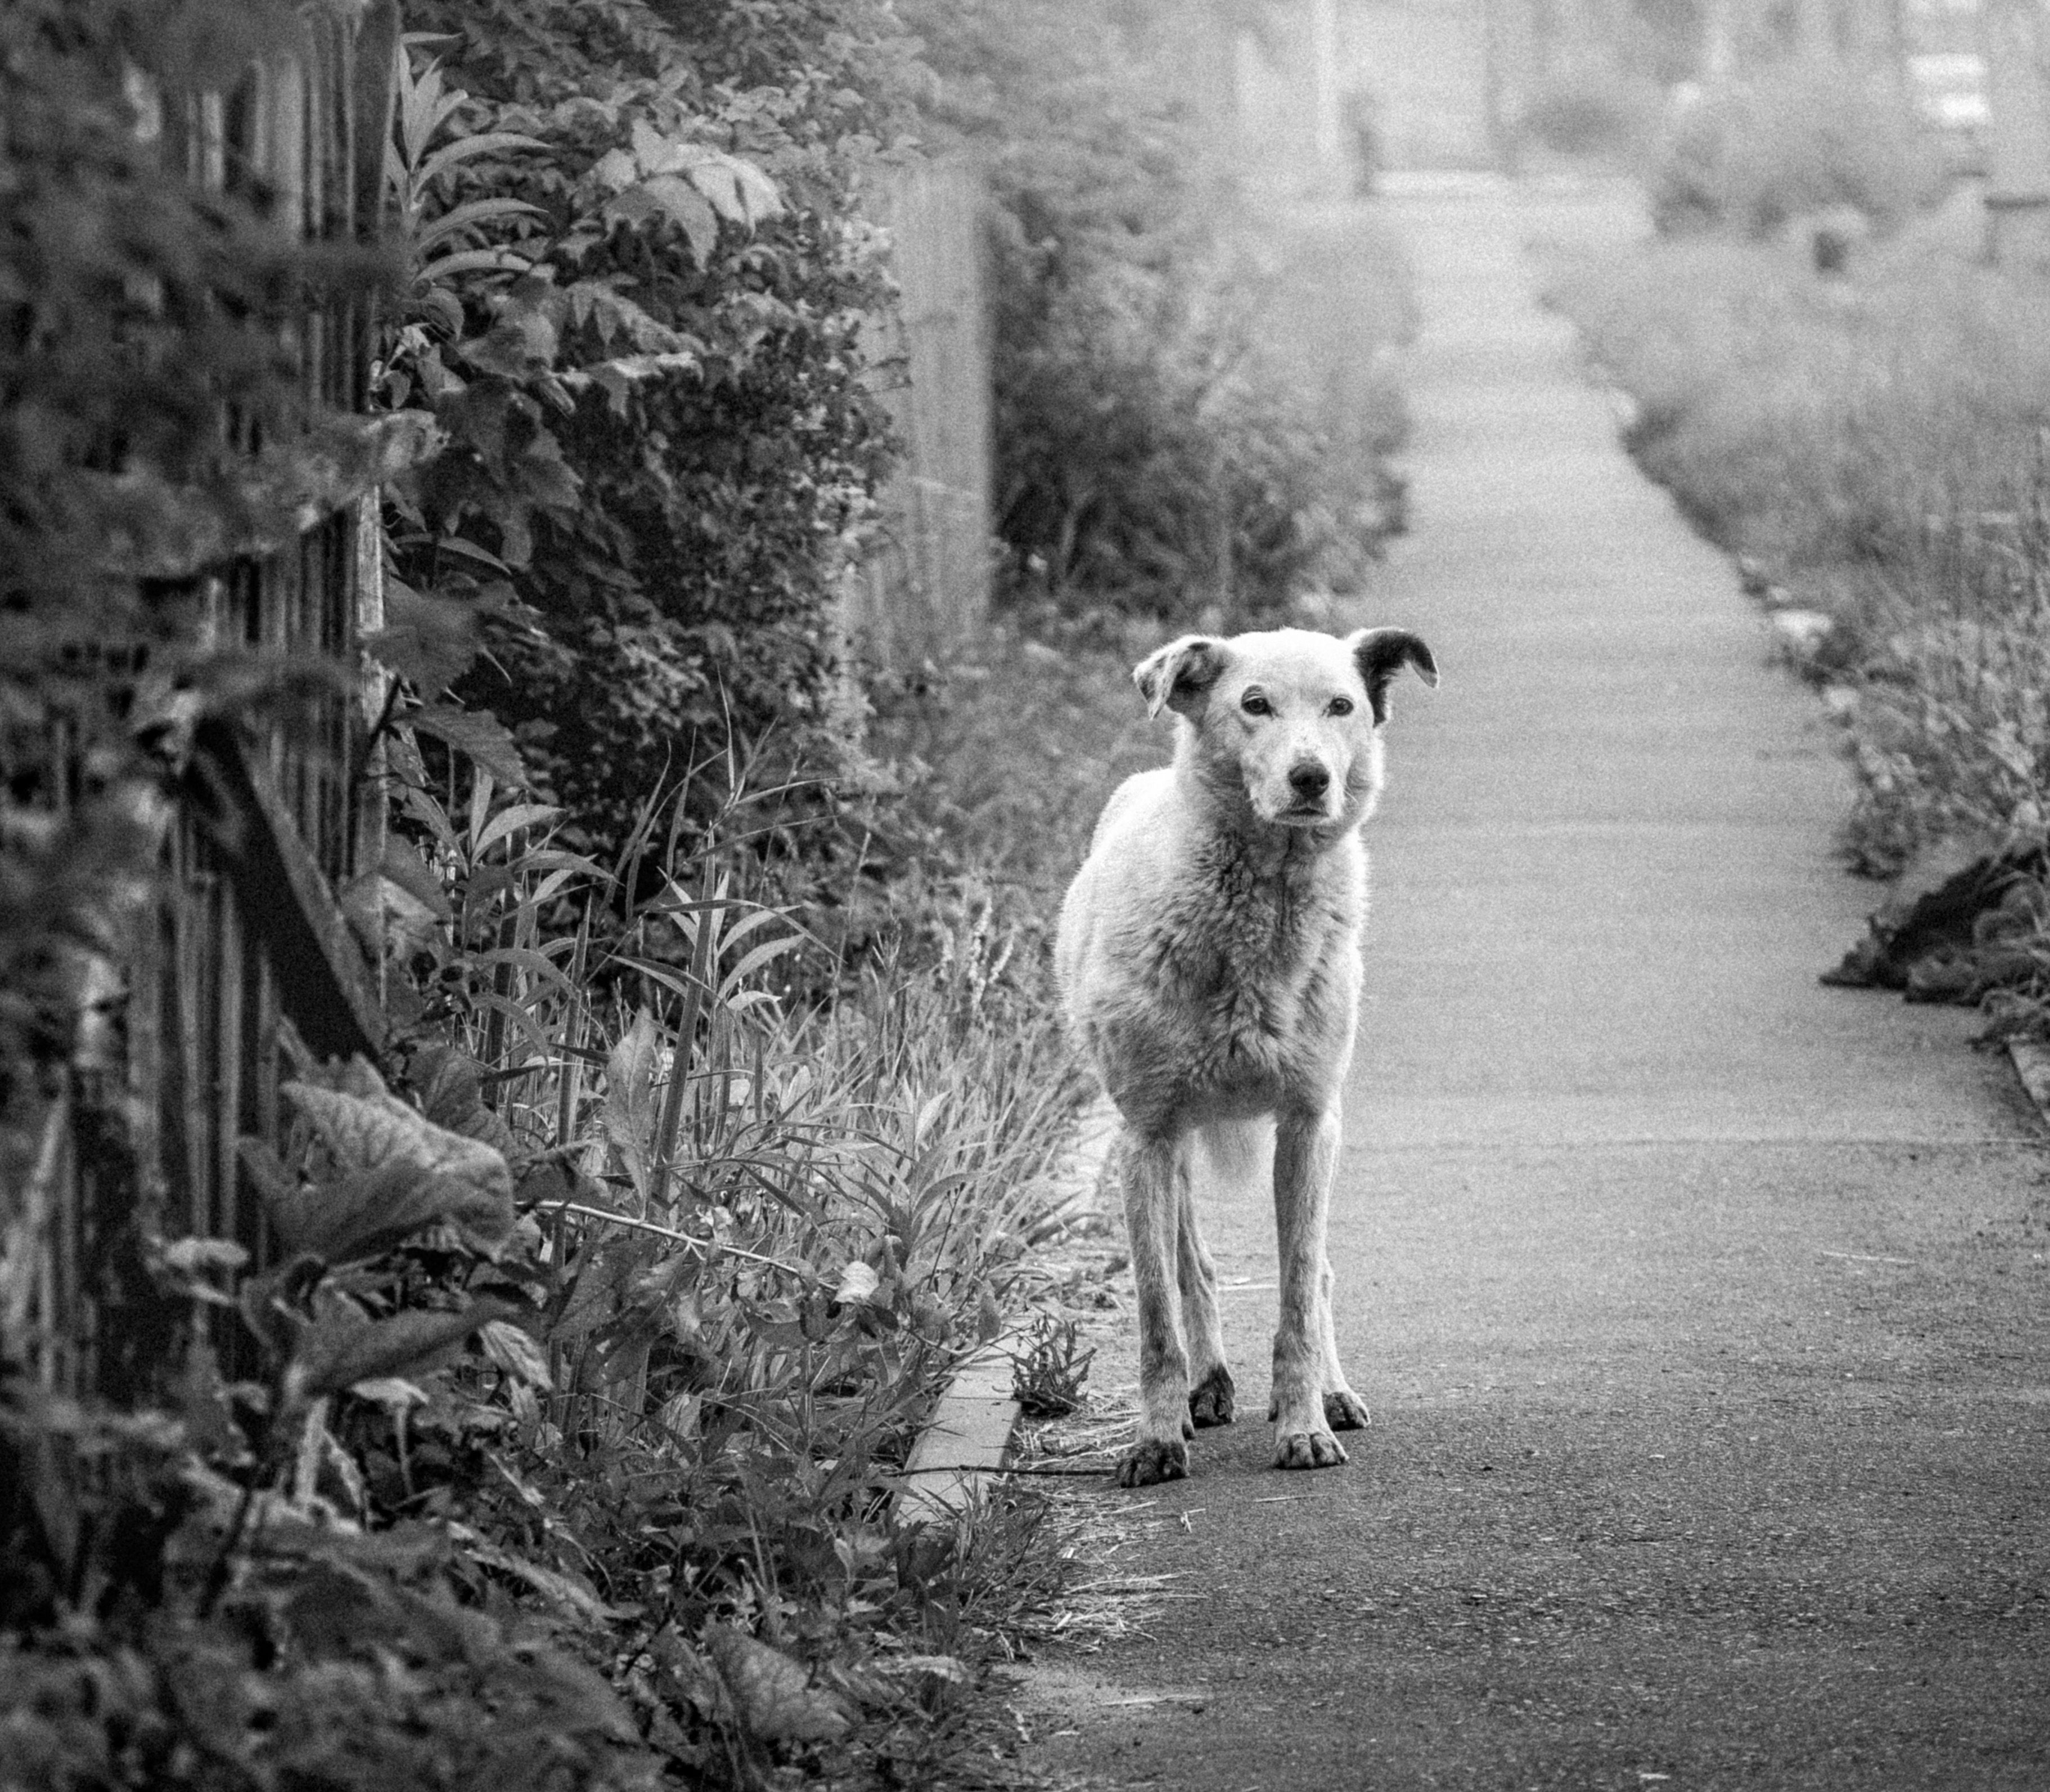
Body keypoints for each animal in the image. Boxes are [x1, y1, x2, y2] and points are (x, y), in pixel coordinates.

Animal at [1066, 623, 1435, 1484]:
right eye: (1254, 704)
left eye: (1342, 706)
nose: (1312, 778)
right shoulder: (1146, 1134)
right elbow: (1155, 1310)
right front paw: (1155, 1440)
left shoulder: (1307, 1122)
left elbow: (1298, 1290)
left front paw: (1304, 1428)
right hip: (1168, 1146)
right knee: (1191, 1267)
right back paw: (1206, 1389)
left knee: (1319, 1270)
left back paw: (1332, 1392)